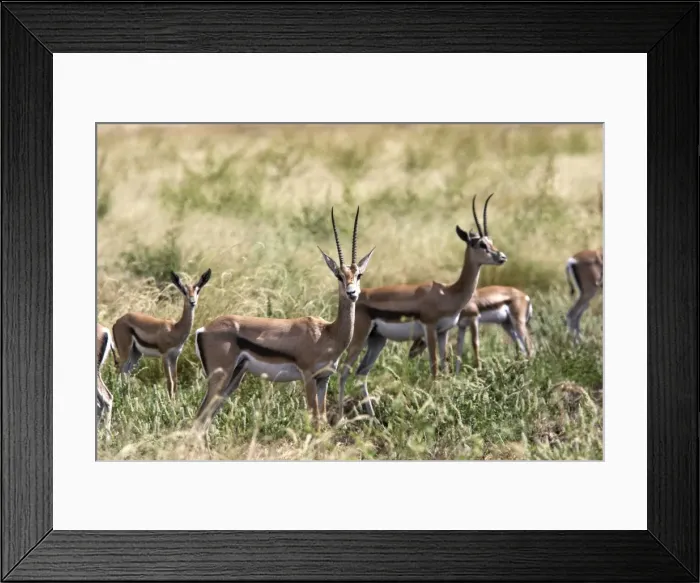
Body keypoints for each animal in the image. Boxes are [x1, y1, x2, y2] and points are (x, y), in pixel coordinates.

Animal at [111, 269, 212, 397]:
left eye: (197, 290)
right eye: (184, 291)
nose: (192, 302)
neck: (175, 329)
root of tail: (118, 321)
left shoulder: (175, 356)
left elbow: (175, 380)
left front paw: (175, 401)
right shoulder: (165, 356)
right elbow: (169, 382)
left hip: (135, 354)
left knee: (125, 373)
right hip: (125, 352)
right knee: (119, 371)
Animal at [191, 207, 374, 436]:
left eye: (359, 275)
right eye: (339, 276)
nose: (352, 293)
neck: (328, 333)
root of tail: (203, 329)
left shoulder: (323, 379)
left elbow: (322, 420)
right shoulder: (308, 376)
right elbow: (314, 419)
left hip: (234, 377)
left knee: (206, 418)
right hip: (220, 377)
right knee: (199, 417)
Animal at [337, 194, 507, 419]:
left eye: (491, 241)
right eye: (481, 244)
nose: (502, 257)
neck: (447, 293)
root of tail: (356, 297)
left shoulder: (443, 331)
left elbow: (444, 367)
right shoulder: (430, 328)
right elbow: (434, 369)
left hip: (377, 340)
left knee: (361, 373)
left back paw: (372, 418)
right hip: (359, 338)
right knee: (344, 371)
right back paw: (339, 417)